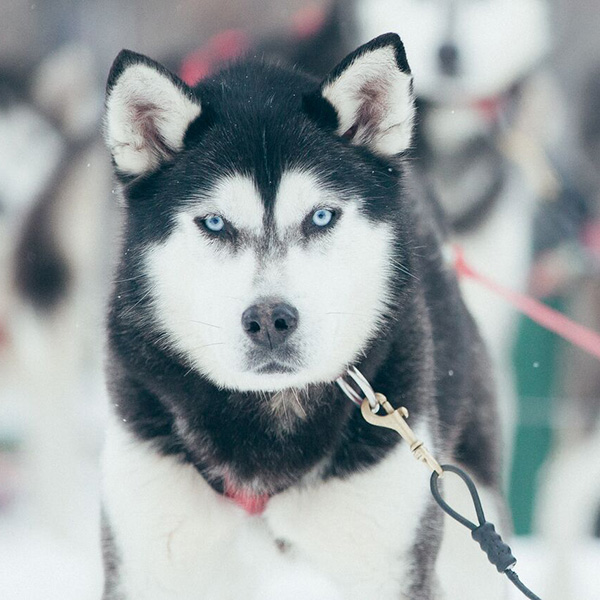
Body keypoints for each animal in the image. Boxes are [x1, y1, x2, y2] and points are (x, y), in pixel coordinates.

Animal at [101, 33, 508, 599]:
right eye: (214, 223)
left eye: (321, 216)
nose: (270, 319)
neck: (266, 422)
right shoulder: (149, 559)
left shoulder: (390, 565)